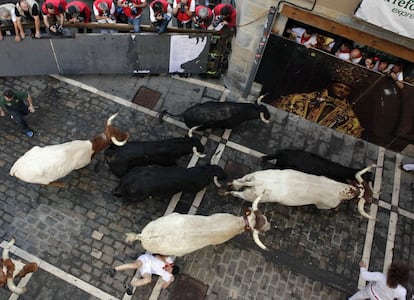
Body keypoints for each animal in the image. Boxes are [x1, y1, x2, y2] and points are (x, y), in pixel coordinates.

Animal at [225, 165, 376, 219]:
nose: (371, 199)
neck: (338, 189)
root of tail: (259, 183)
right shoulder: (325, 205)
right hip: (251, 196)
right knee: (237, 193)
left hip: (250, 176)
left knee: (238, 181)